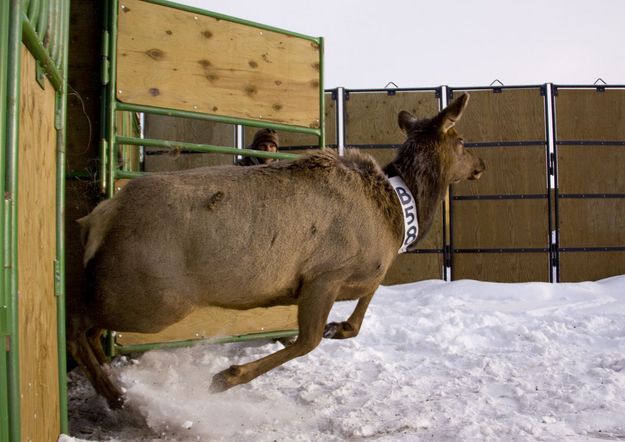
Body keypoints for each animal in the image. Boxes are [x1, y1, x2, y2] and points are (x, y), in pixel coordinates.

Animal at [70, 92, 486, 408]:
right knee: (77, 321)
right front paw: (225, 377)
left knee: (90, 328)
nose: (481, 163)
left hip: (130, 291)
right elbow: (308, 340)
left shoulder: (357, 275)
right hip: (152, 297)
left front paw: (340, 327)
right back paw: (114, 393)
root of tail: (99, 216)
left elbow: (363, 305)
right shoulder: (325, 274)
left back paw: (111, 383)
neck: (399, 220)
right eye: (462, 140)